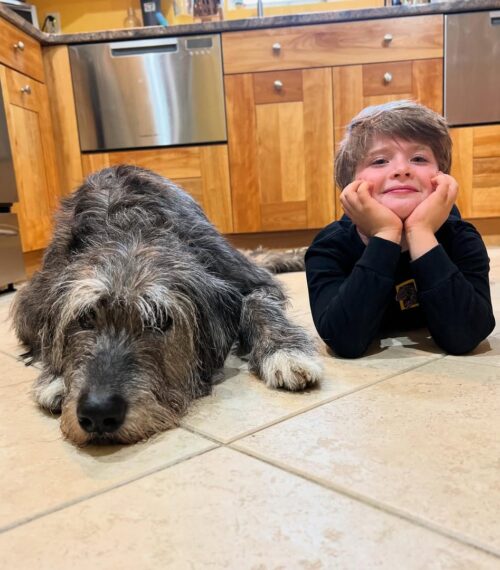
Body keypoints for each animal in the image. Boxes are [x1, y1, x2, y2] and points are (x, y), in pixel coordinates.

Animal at [12, 166, 322, 445]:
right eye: (86, 318)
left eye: (160, 320)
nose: (98, 413)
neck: (129, 230)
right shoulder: (34, 299)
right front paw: (55, 378)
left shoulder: (246, 279)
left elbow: (257, 303)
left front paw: (285, 351)